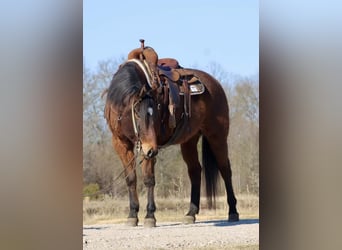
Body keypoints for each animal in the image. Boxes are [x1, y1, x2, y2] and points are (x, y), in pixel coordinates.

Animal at [103, 41, 239, 227]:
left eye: (157, 110)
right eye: (137, 113)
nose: (151, 150)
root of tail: (215, 84)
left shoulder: (148, 146)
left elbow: (149, 179)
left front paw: (150, 216)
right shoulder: (121, 144)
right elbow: (131, 178)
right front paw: (132, 215)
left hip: (217, 136)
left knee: (225, 169)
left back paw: (233, 212)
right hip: (189, 141)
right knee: (195, 171)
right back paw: (191, 213)